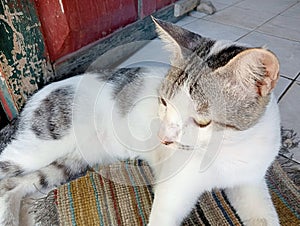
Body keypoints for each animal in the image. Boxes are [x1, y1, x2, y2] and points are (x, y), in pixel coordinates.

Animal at [0, 18, 282, 226]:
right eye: (164, 102)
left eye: (203, 121)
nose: (163, 138)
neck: (228, 152)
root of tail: (37, 95)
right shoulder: (173, 189)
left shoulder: (251, 183)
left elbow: (265, 217)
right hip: (38, 148)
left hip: (72, 162)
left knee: (11, 186)